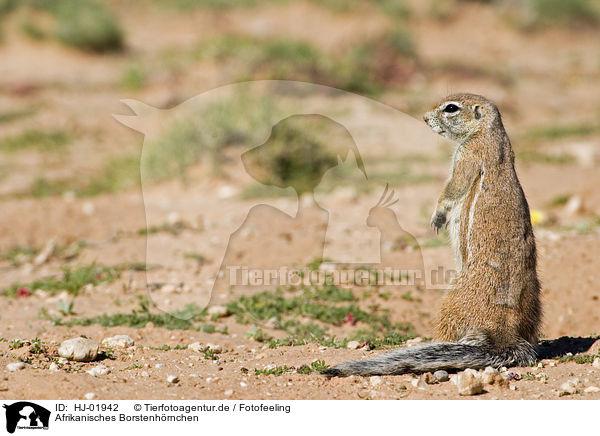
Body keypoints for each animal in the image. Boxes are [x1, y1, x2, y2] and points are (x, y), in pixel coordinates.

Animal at [326, 93, 540, 374]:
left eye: (451, 108)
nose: (425, 118)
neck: (489, 134)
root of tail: (503, 335)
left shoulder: (467, 156)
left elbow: (452, 188)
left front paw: (437, 217)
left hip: (450, 301)